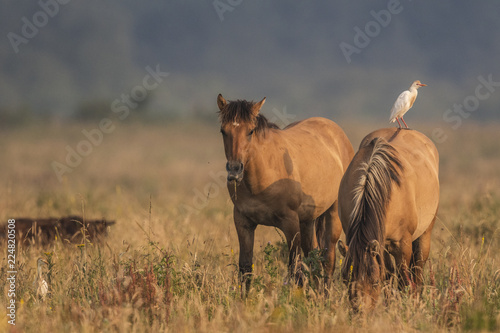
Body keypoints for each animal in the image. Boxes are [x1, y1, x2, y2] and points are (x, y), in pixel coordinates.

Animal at [217, 92, 354, 286]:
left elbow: (295, 270)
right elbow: (245, 269)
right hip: (307, 221)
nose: (235, 170)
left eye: (250, 131)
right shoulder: (243, 222)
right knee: (314, 259)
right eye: (223, 131)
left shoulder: (290, 224)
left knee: (328, 260)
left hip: (333, 216)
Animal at [338, 127, 440, 308]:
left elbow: (403, 280)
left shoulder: (402, 245)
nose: (360, 312)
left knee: (418, 269)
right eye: (346, 280)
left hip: (424, 234)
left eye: (374, 282)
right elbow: (388, 275)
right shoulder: (381, 243)